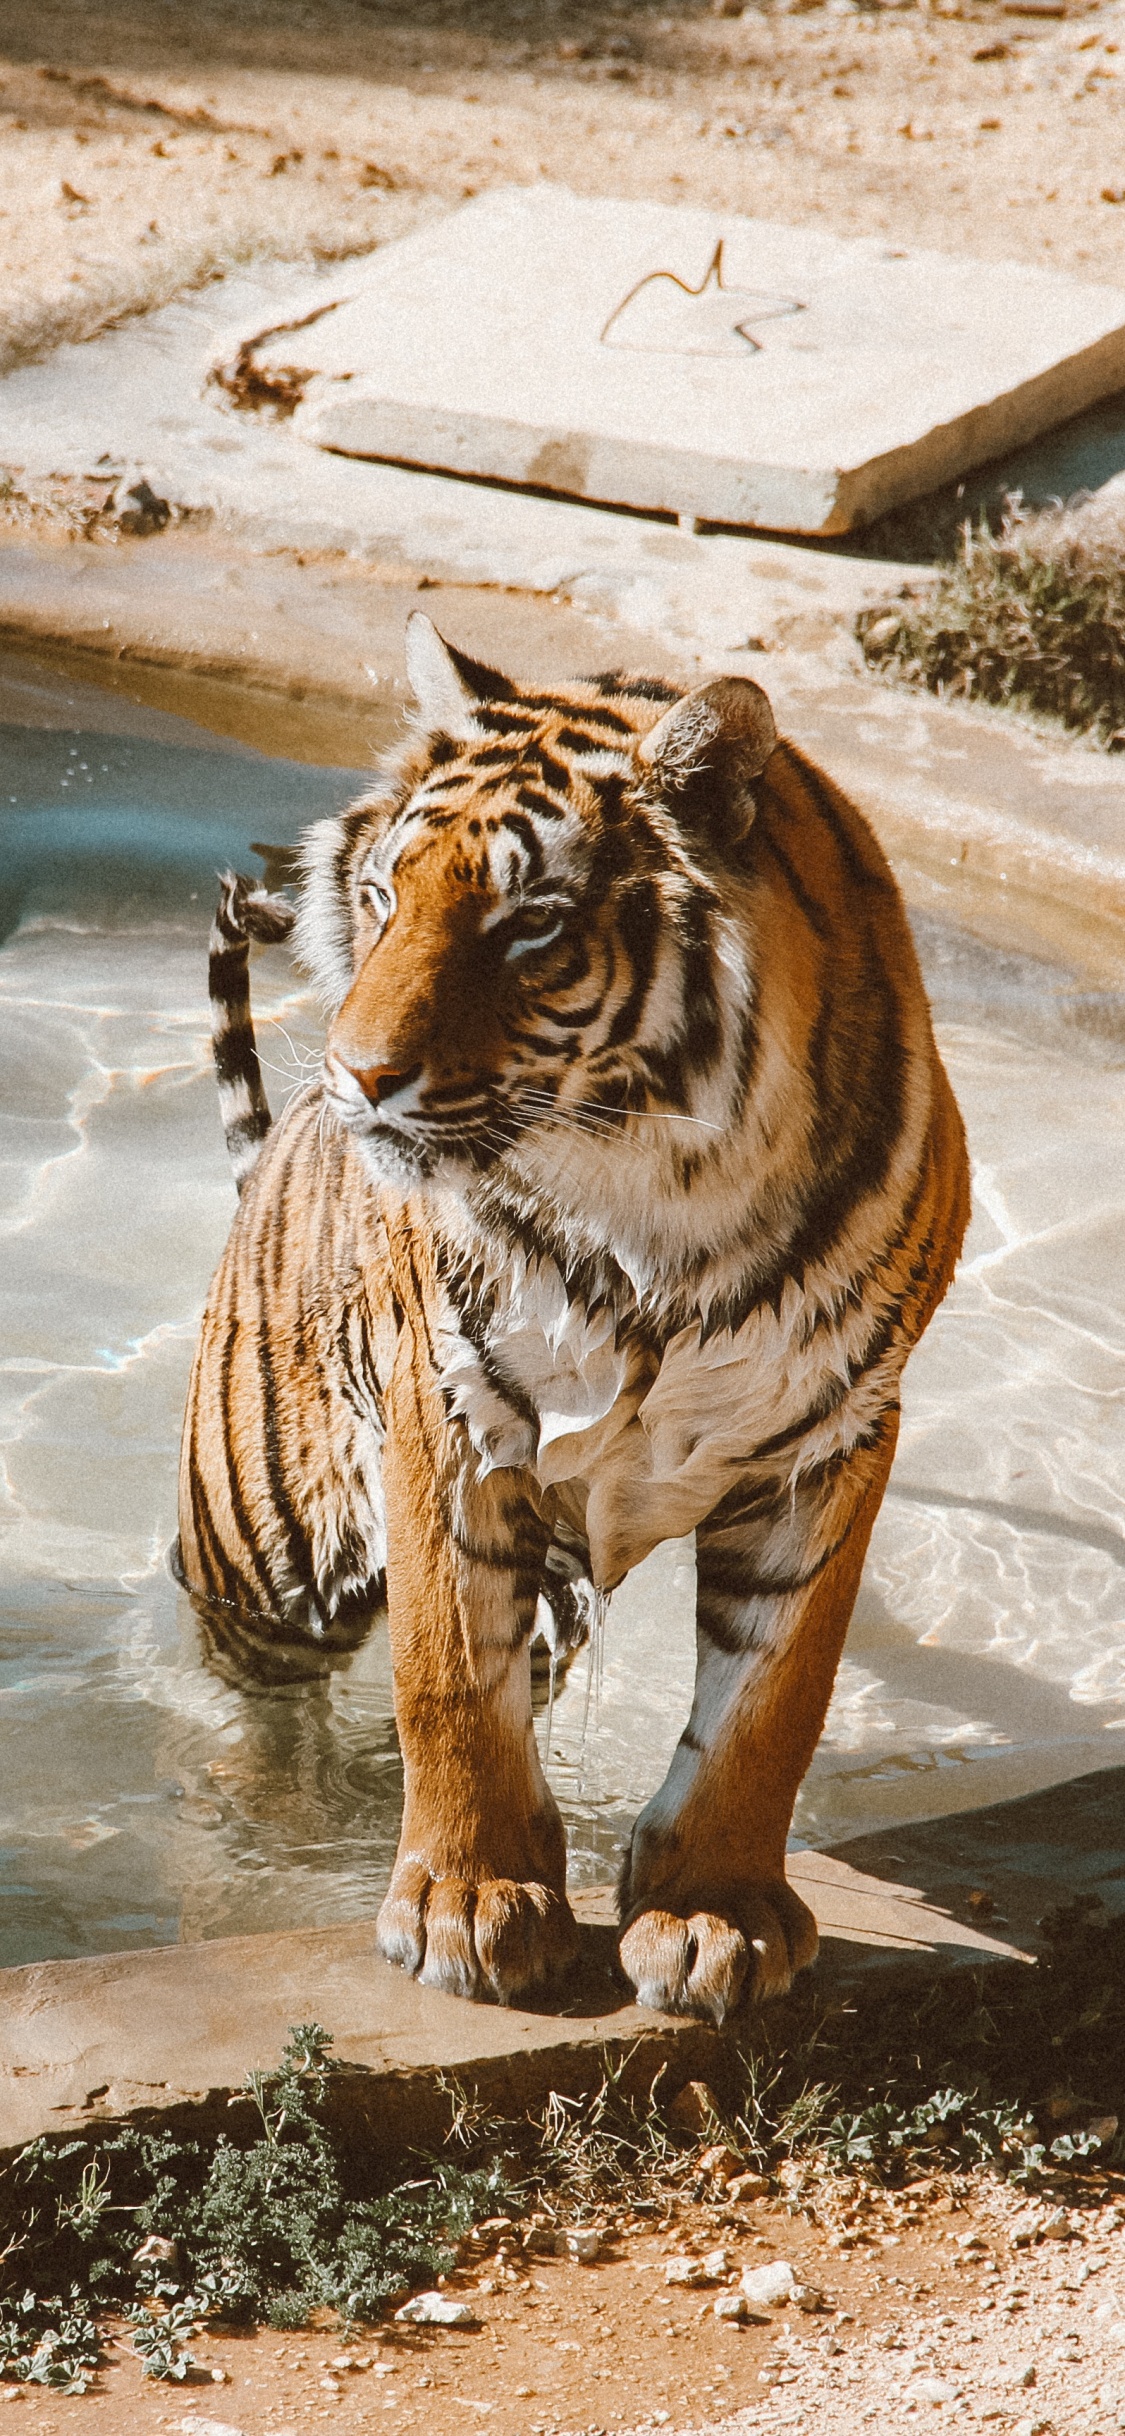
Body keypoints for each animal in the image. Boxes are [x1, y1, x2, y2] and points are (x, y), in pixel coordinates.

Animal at [176, 610, 970, 2022]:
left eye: (529, 925)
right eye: (383, 897)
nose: (355, 1076)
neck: (660, 1197)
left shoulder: (832, 1439)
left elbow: (773, 1702)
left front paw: (712, 1912)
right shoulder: (446, 1413)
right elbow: (448, 1678)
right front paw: (466, 1903)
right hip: (260, 1552)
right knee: (247, 1704)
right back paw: (263, 1820)